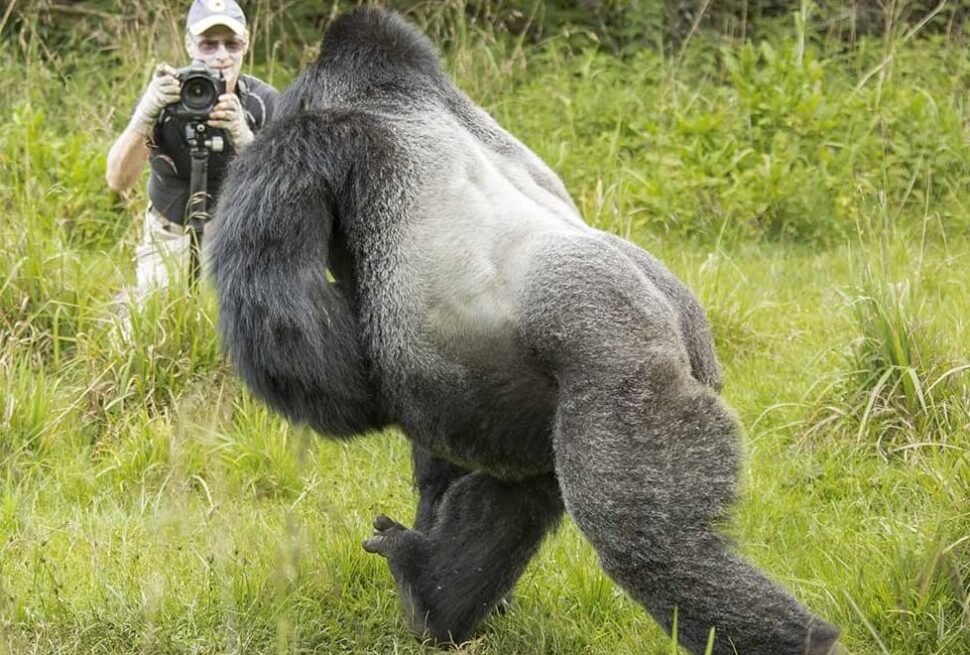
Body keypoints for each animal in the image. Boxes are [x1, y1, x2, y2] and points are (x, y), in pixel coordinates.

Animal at [209, 8, 841, 655]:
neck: (393, 94)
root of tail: (678, 324)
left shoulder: (301, 144)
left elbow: (307, 352)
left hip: (623, 376)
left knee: (654, 544)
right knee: (525, 490)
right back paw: (433, 594)